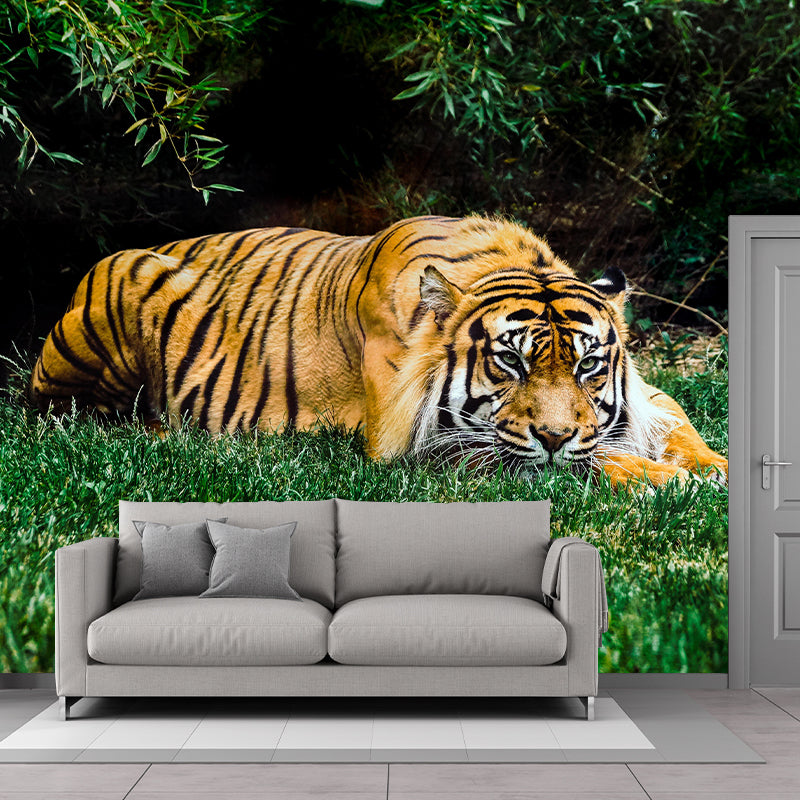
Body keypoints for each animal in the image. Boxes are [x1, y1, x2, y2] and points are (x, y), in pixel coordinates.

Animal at [29, 215, 728, 486]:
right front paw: (671, 482)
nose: (555, 434)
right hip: (118, 291)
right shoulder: (421, 446)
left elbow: (681, 427)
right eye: (510, 361)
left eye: (587, 365)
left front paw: (710, 468)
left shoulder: (647, 396)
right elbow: (589, 463)